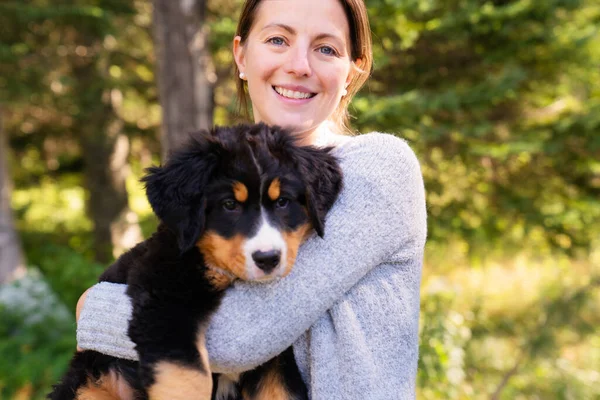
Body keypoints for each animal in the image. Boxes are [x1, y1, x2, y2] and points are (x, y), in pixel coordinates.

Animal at [49, 122, 342, 400]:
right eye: (229, 205)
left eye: (282, 202)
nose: (268, 259)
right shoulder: (166, 303)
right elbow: (187, 380)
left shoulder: (273, 356)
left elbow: (281, 389)